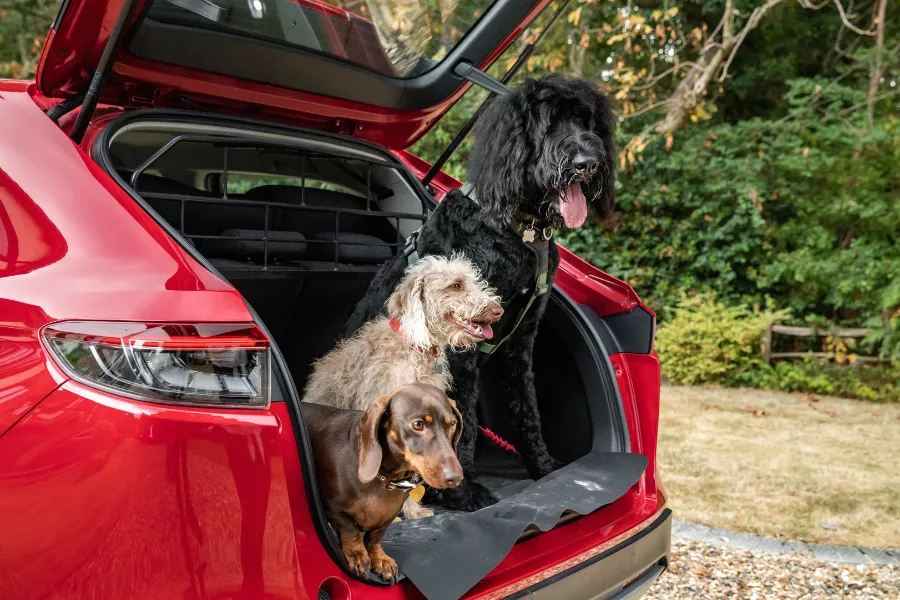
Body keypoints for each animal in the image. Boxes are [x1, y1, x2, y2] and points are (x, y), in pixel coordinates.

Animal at [346, 72, 620, 508]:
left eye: (587, 121)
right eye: (549, 124)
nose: (587, 163)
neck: (519, 233)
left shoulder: (522, 339)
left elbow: (526, 406)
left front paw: (543, 466)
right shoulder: (462, 347)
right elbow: (462, 420)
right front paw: (463, 491)